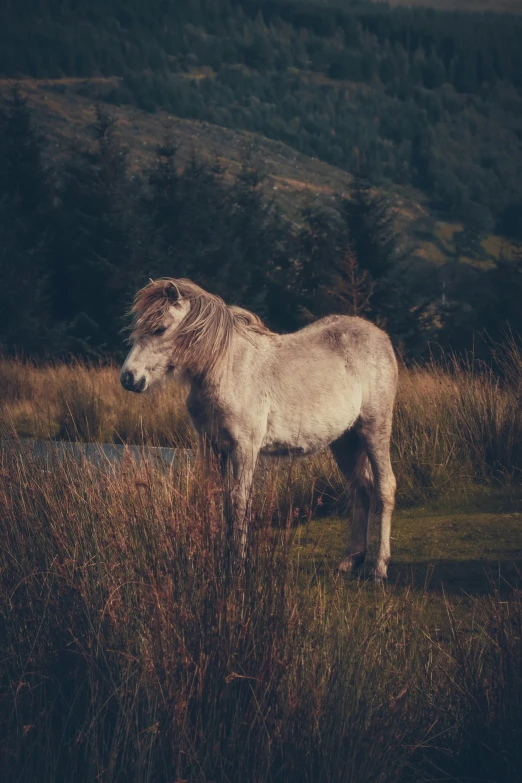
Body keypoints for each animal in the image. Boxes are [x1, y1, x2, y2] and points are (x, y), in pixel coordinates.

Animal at [121, 278, 398, 580]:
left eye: (160, 328)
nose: (129, 378)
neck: (226, 368)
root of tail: (380, 337)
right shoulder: (211, 445)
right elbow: (211, 497)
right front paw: (212, 560)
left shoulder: (245, 447)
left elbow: (240, 502)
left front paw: (237, 566)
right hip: (345, 441)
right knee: (360, 489)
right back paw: (351, 560)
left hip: (374, 429)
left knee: (384, 487)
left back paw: (380, 567)